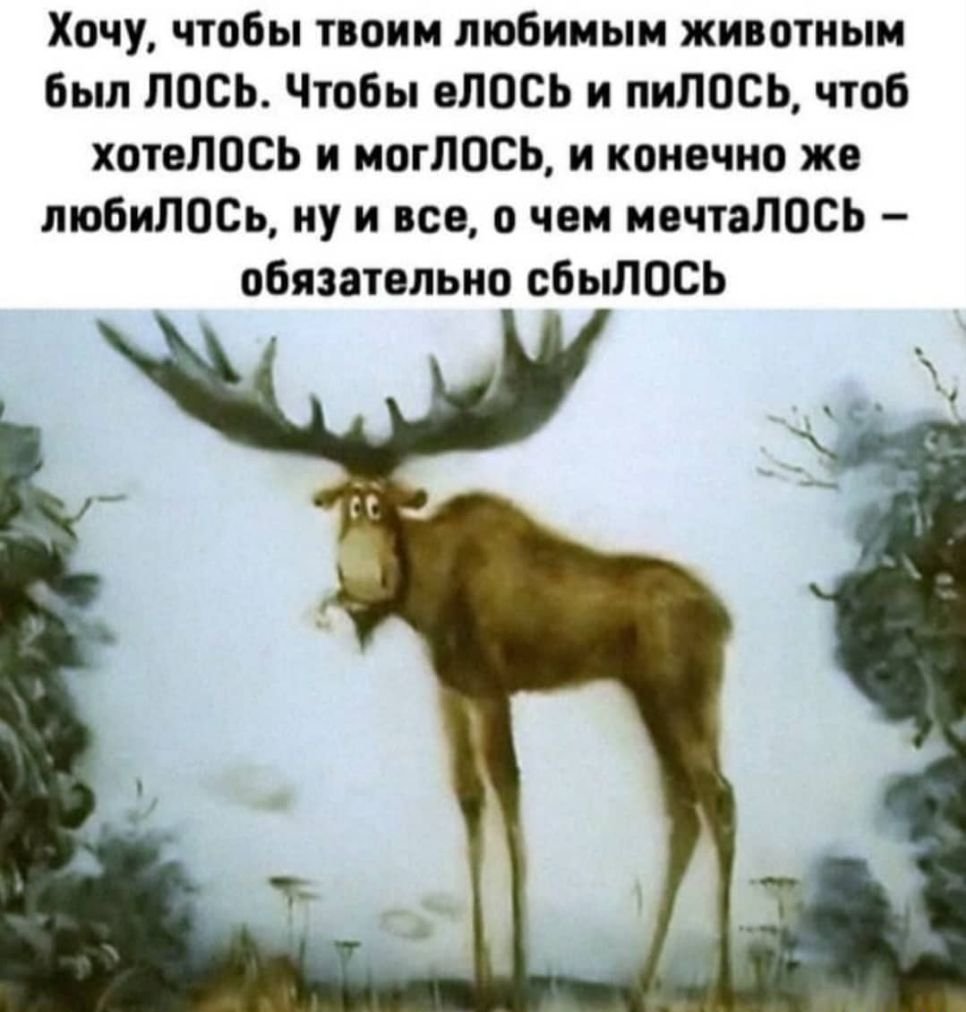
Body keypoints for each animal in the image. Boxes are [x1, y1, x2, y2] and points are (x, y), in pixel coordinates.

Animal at [100, 311, 736, 1011]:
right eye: (346, 505)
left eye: (384, 505)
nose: (362, 580)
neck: (430, 594)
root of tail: (723, 616)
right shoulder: (450, 685)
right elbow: (468, 798)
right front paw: (483, 977)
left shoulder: (491, 683)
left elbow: (510, 794)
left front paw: (518, 976)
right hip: (650, 695)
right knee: (682, 809)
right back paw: (642, 984)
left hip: (682, 689)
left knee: (720, 799)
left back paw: (721, 991)